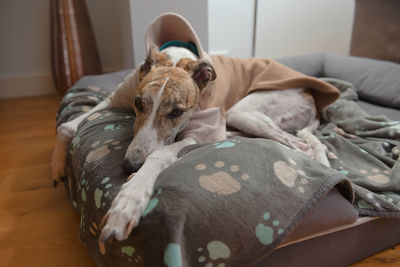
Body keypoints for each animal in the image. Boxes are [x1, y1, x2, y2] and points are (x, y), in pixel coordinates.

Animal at [51, 12, 336, 243]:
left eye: (177, 112)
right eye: (138, 103)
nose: (130, 165)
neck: (178, 58)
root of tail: (312, 99)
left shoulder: (203, 131)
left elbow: (160, 152)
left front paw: (128, 200)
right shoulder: (113, 100)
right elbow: (66, 127)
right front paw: (59, 167)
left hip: (244, 110)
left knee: (302, 146)